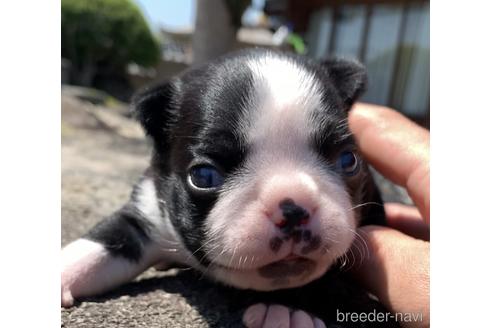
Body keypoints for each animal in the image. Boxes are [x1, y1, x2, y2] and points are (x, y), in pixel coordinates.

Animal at [61, 48, 386, 328]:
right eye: (204, 176)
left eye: (348, 160)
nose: (294, 207)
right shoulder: (145, 212)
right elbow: (101, 244)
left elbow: (298, 275)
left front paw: (287, 309)